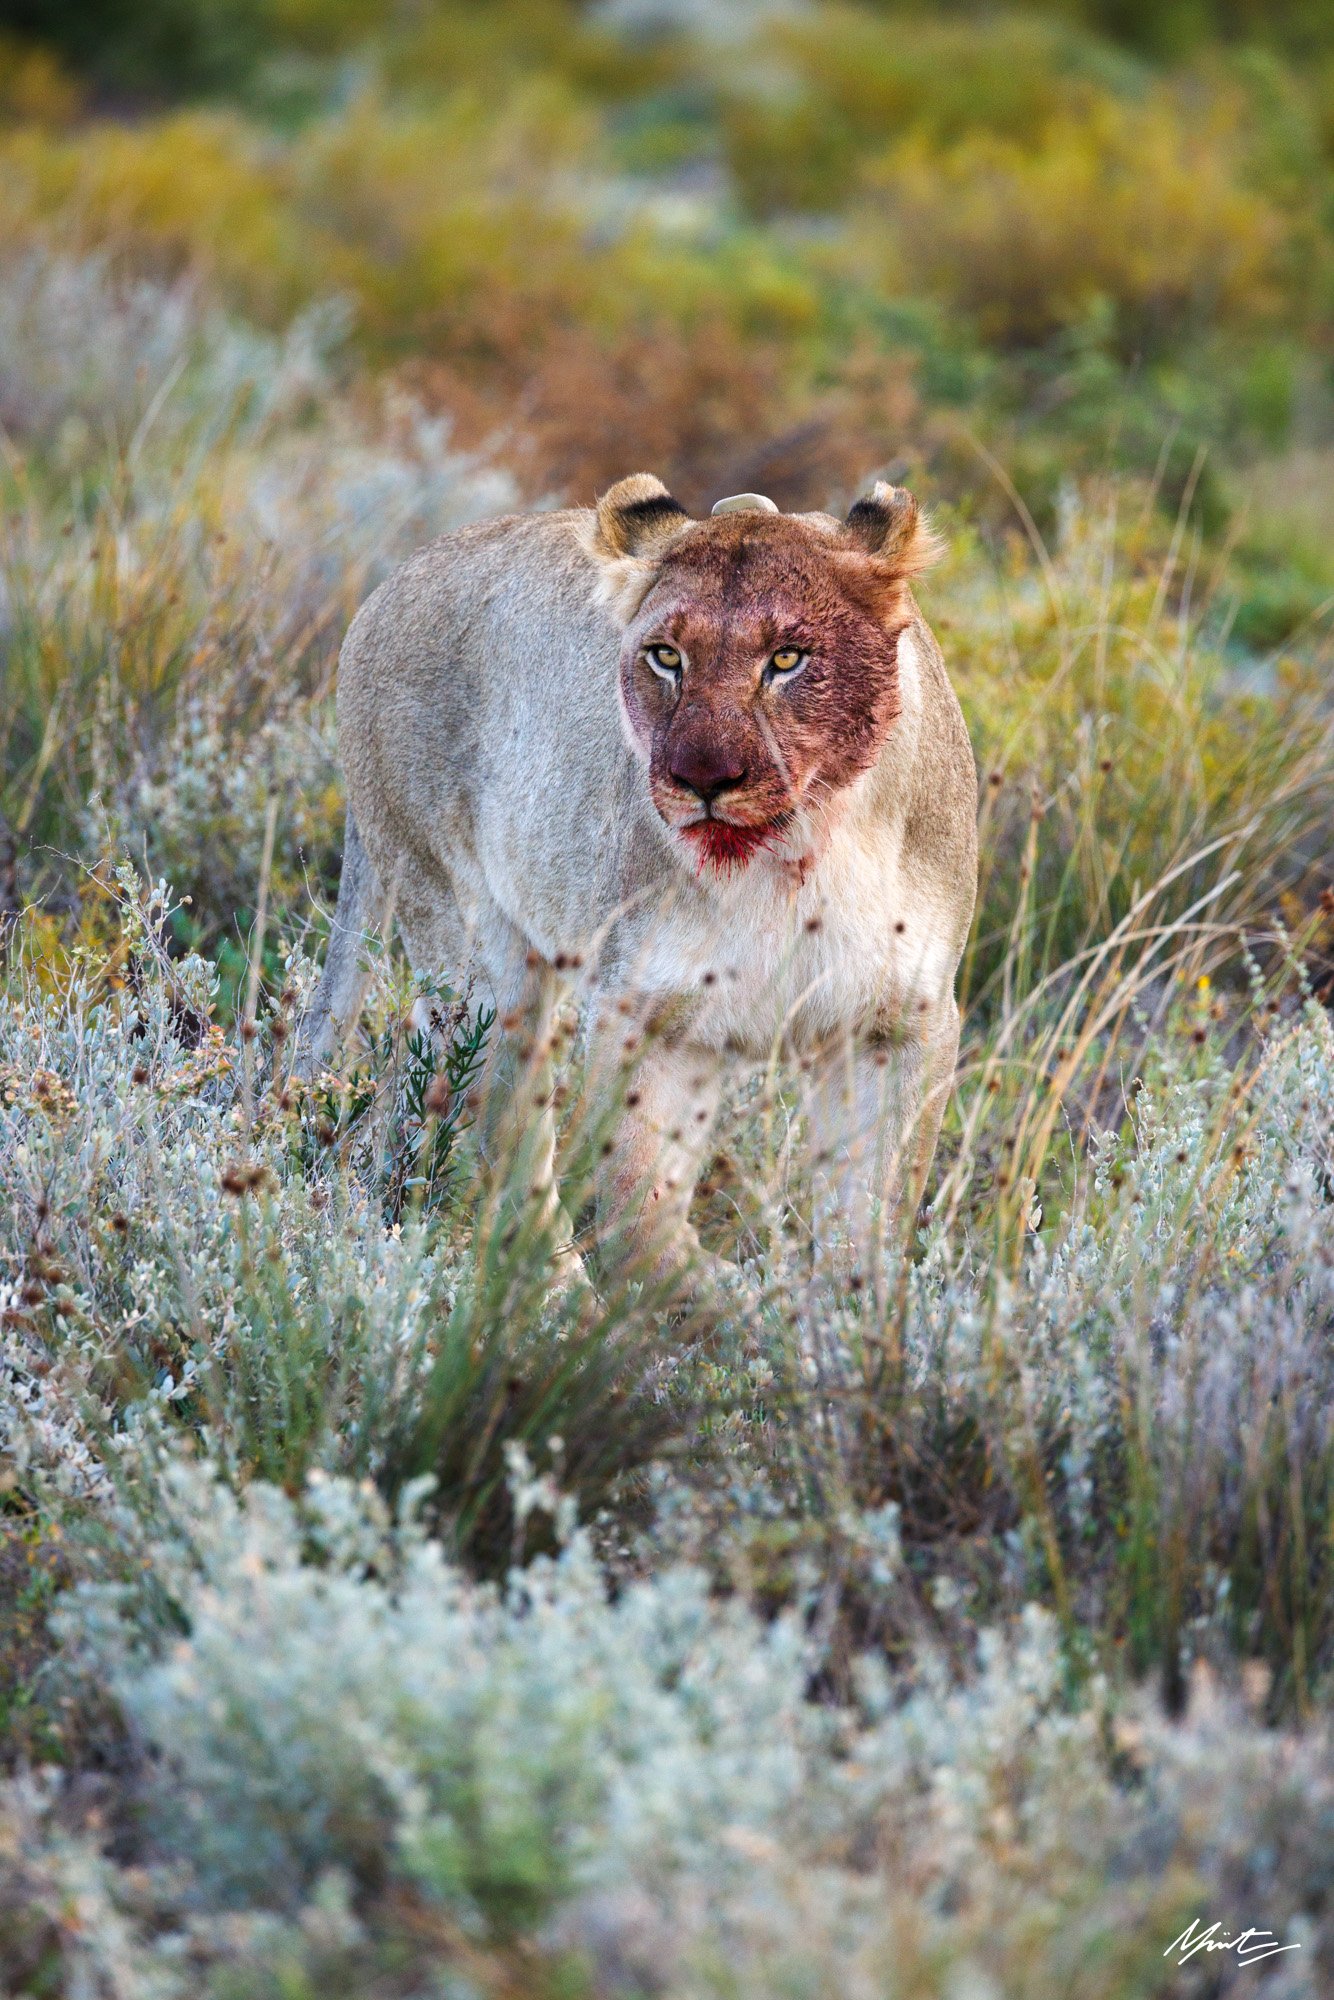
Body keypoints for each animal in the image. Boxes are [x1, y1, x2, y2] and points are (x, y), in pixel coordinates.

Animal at [298, 475, 978, 1295]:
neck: (791, 861)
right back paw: (556, 1295)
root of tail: (385, 587)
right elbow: (637, 1219)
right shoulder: (644, 1014)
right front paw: (699, 1305)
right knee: (498, 1132)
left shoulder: (899, 1022)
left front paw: (841, 1317)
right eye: (666, 656)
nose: (701, 779)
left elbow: (869, 1220)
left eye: (787, 657)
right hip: (471, 951)